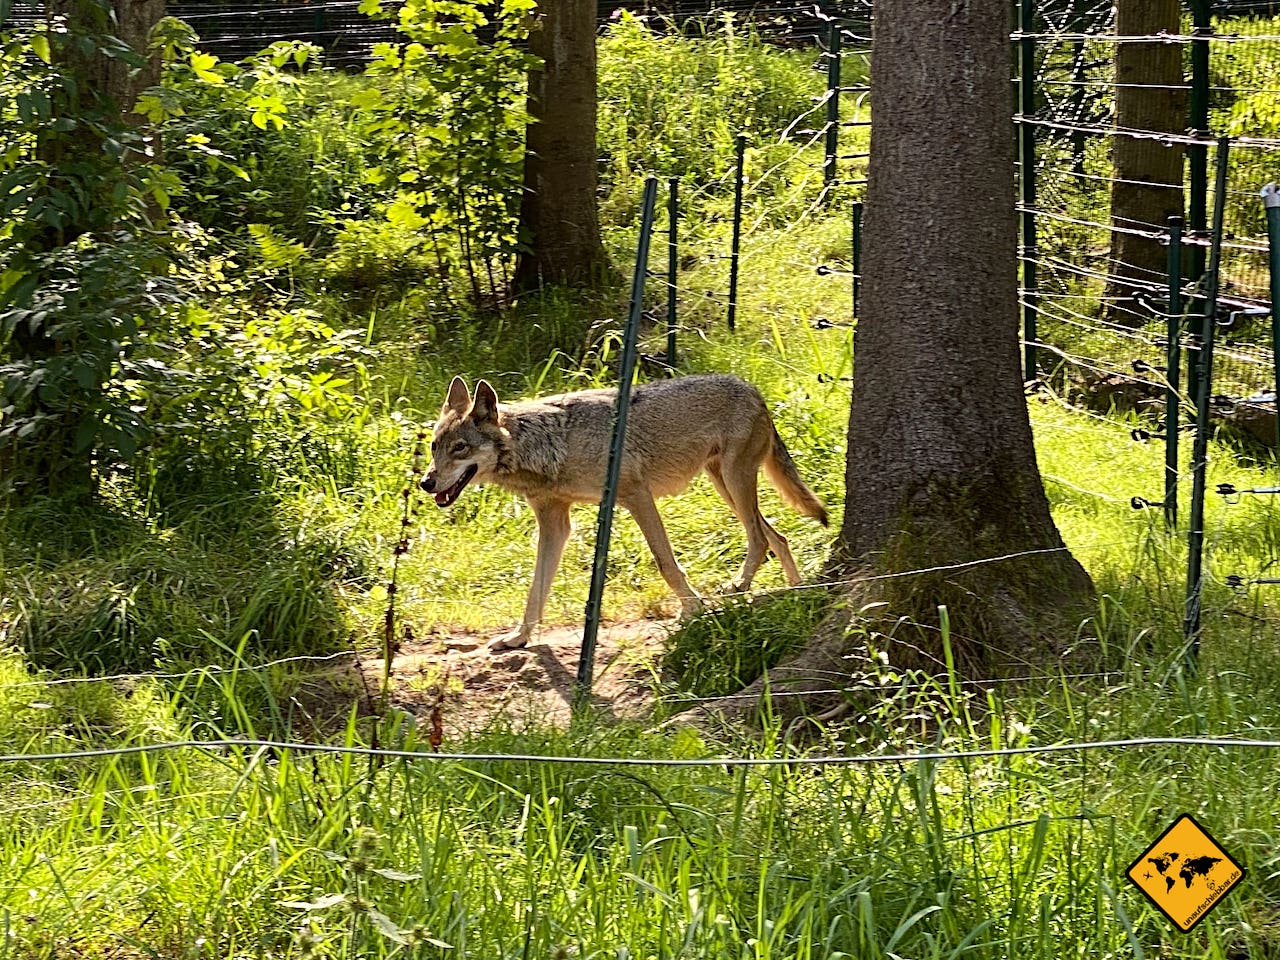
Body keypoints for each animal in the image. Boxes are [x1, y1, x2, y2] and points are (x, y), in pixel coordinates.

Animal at [422, 371, 829, 650]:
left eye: (460, 448)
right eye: (434, 447)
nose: (426, 483)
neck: (552, 445)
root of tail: (752, 388)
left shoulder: (636, 496)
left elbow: (666, 564)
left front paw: (691, 610)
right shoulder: (555, 523)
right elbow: (535, 589)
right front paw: (517, 638)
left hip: (733, 482)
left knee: (760, 537)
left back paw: (741, 585)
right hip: (725, 485)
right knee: (777, 535)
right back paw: (796, 591)